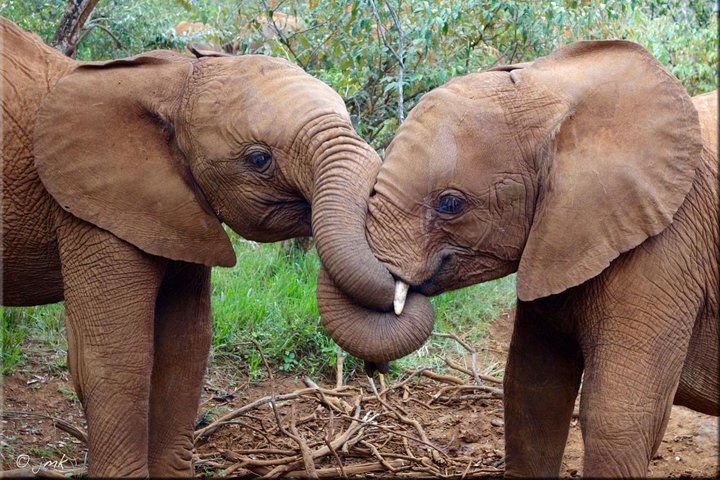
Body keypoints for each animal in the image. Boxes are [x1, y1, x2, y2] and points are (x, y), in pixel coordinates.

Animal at [1, 17, 394, 477]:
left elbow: (186, 347)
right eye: (259, 160)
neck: (170, 79)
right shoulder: (88, 207)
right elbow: (117, 358)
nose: (375, 370)